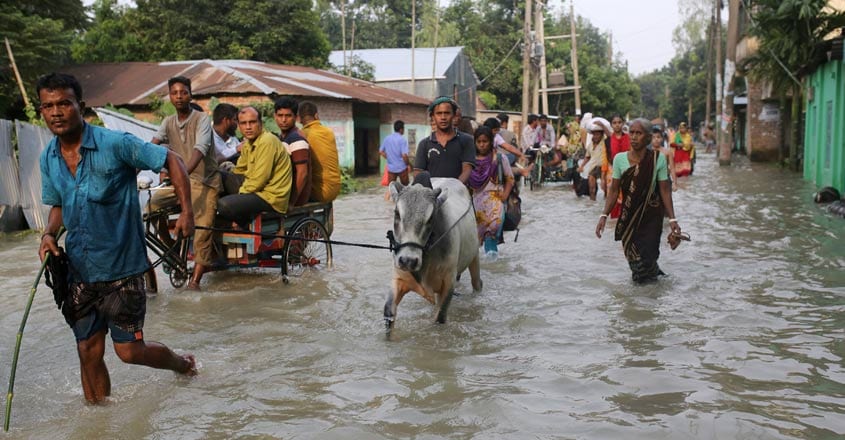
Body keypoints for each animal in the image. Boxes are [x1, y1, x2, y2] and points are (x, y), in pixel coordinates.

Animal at [384, 174, 482, 332]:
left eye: (430, 219)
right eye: (397, 213)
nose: (408, 260)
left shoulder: (449, 282)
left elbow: (439, 318)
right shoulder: (399, 277)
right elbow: (388, 313)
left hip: (475, 257)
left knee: (477, 283)